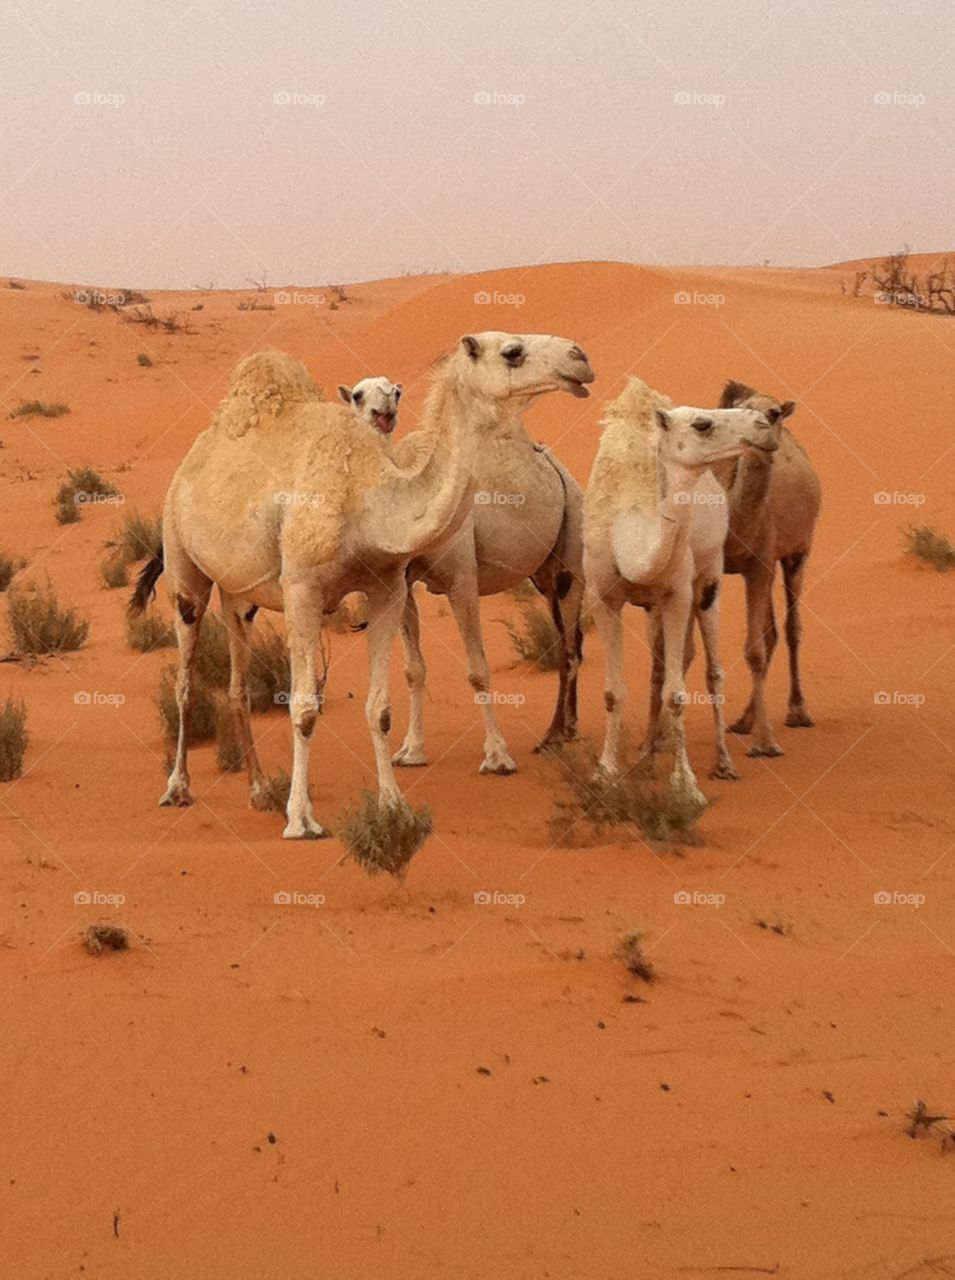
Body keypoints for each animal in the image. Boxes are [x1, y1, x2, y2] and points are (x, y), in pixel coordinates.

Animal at [129, 335, 591, 839]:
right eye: (512, 351)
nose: (580, 358)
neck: (370, 501)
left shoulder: (388, 588)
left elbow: (381, 707)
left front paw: (394, 805)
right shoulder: (303, 588)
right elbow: (304, 708)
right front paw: (301, 819)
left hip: (239, 593)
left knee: (236, 684)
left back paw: (259, 790)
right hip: (182, 562)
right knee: (185, 679)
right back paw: (178, 788)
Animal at [583, 373, 778, 803]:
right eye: (702, 424)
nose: (763, 425)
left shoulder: (677, 594)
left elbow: (677, 693)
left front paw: (685, 785)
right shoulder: (603, 597)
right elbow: (613, 692)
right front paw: (605, 773)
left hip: (709, 577)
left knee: (711, 670)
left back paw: (723, 763)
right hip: (654, 603)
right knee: (660, 670)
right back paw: (648, 756)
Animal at [716, 381, 819, 757]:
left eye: (774, 413)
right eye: (740, 411)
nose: (761, 432)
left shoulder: (760, 562)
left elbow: (754, 649)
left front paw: (764, 743)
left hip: (796, 553)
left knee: (790, 629)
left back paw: (797, 711)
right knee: (772, 631)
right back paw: (743, 720)